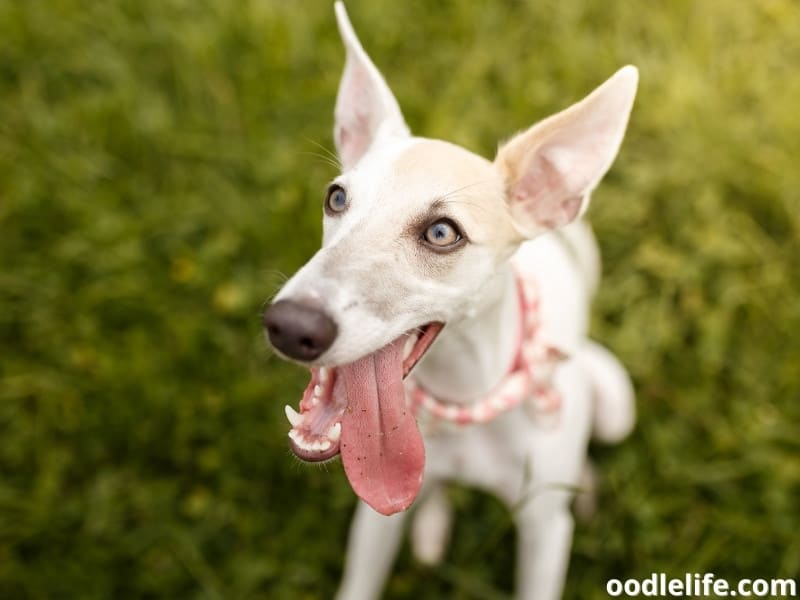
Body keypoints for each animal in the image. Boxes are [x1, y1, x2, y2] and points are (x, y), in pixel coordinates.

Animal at [264, 3, 636, 596]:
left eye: (442, 233)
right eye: (336, 198)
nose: (289, 326)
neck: (466, 399)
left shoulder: (544, 533)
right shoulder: (375, 513)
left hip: (616, 400)